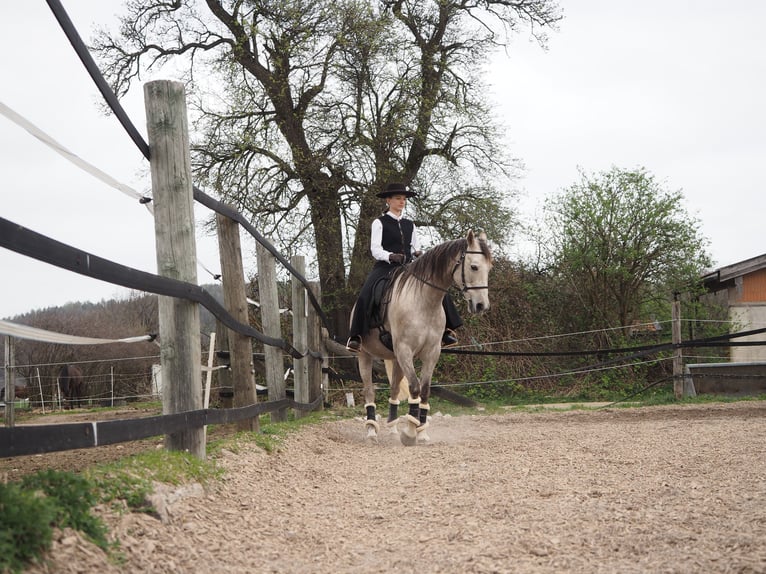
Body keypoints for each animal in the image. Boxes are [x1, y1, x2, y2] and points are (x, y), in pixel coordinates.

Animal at [355, 230, 493, 445]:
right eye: (474, 266)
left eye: (489, 268)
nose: (481, 306)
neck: (423, 302)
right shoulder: (405, 350)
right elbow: (415, 387)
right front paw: (410, 433)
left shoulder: (431, 353)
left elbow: (425, 390)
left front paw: (421, 432)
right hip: (365, 355)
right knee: (369, 391)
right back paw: (371, 431)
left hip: (395, 359)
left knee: (394, 389)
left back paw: (393, 428)